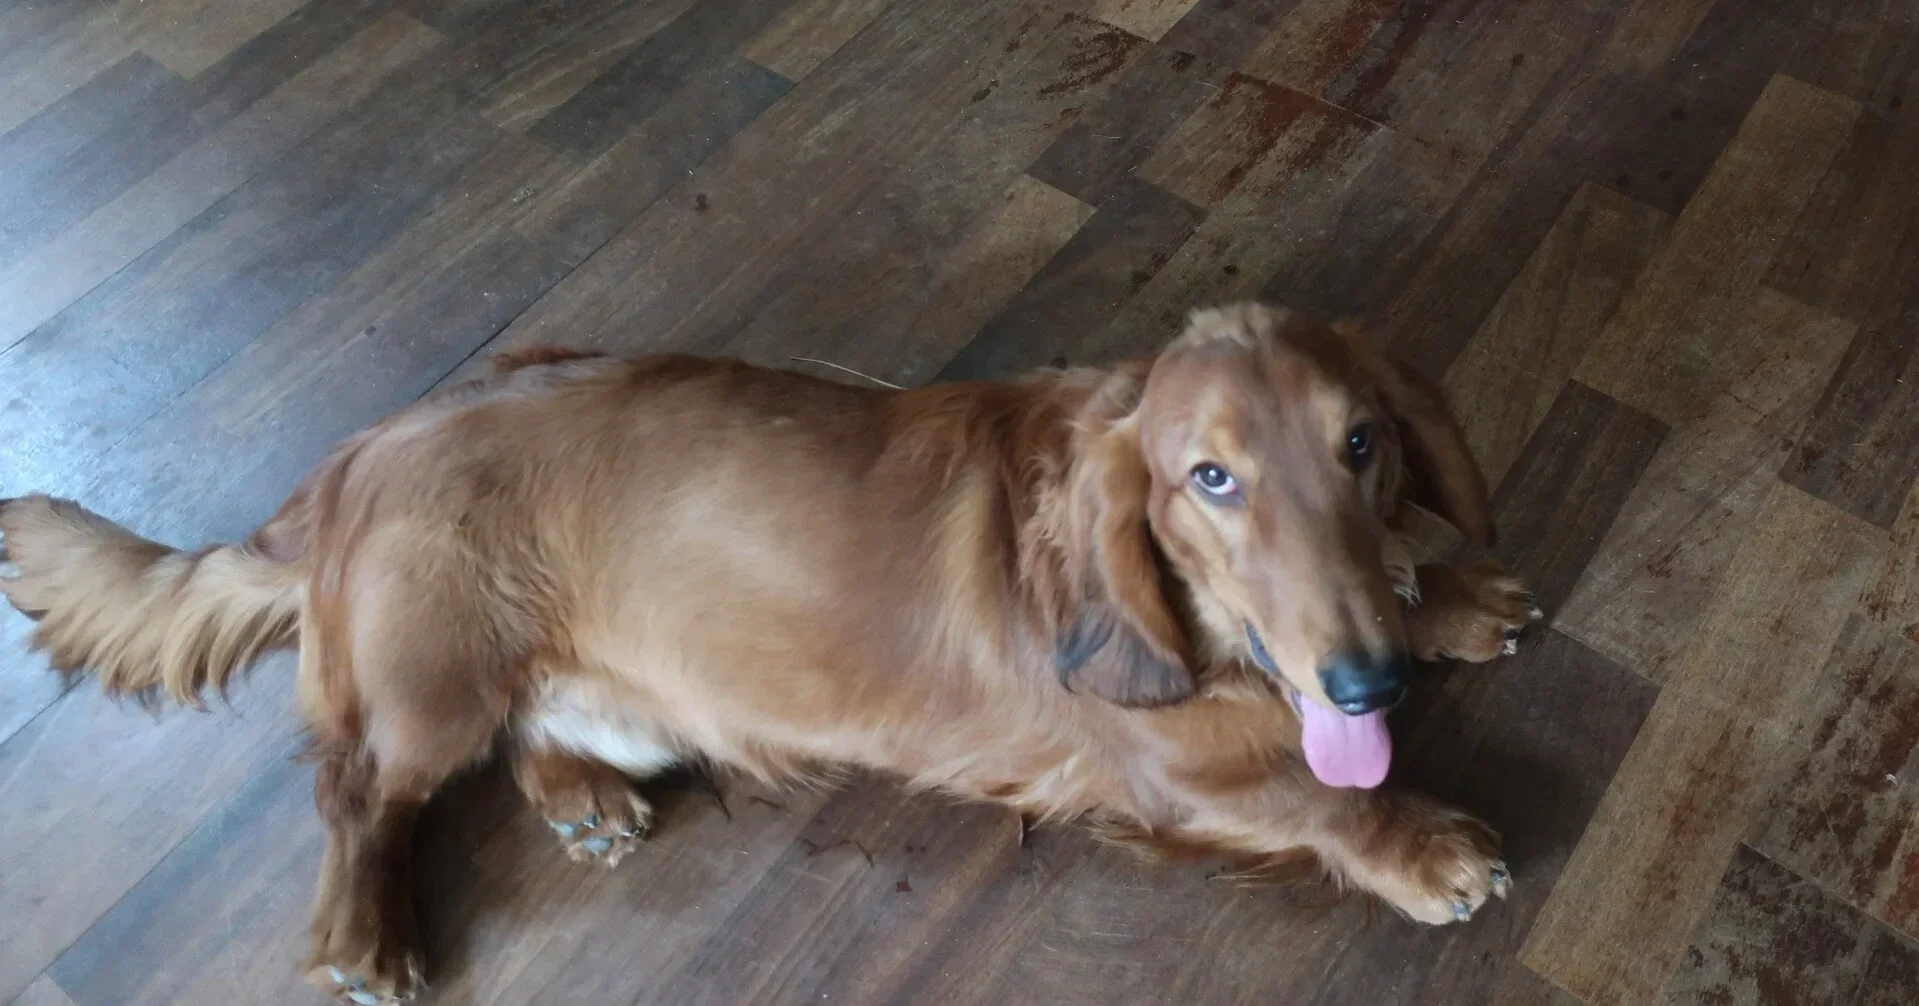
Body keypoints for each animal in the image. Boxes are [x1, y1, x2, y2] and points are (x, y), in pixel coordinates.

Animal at [0, 302, 1541, 1003]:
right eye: (1208, 479)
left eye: (1362, 442)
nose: (1366, 682)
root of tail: (357, 457)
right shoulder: (1171, 771)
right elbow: (1314, 793)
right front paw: (1423, 844)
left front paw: (1444, 590)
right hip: (430, 683)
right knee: (359, 787)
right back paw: (368, 932)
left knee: (536, 735)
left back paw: (584, 798)